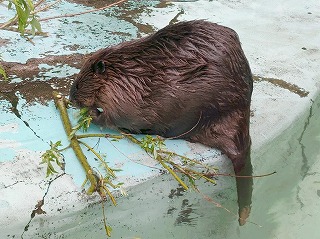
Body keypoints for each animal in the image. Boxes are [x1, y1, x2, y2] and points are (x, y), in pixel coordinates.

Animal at [69, 19, 252, 225]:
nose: (70, 99)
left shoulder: (126, 99)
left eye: (78, 85)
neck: (127, 75)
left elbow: (114, 118)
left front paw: (91, 113)